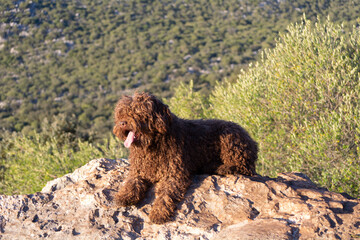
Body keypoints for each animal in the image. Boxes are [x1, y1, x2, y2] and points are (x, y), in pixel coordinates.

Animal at [114, 92, 258, 223]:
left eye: (137, 111)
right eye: (121, 112)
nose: (122, 123)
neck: (152, 144)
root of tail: (250, 140)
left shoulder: (175, 174)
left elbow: (165, 195)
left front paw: (158, 212)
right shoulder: (139, 170)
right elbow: (132, 182)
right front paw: (124, 195)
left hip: (229, 138)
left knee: (244, 166)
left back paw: (223, 168)